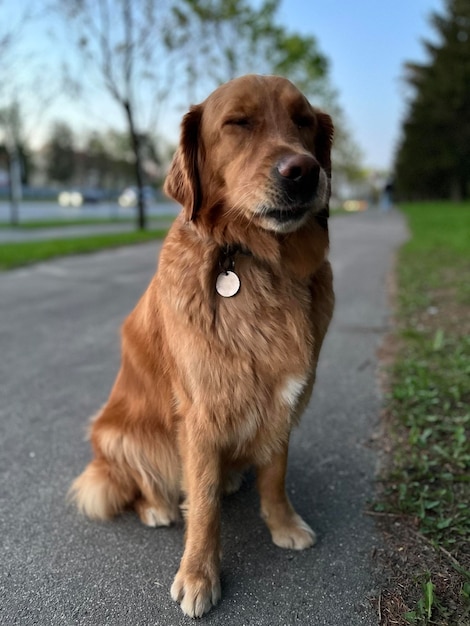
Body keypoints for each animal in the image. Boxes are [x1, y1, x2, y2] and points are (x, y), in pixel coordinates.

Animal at [70, 73, 334, 616]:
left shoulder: (285, 400)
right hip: (118, 436)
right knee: (135, 483)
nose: (304, 171)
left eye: (303, 121)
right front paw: (198, 575)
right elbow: (206, 504)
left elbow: (275, 474)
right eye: (237, 123)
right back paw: (158, 508)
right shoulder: (200, 411)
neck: (259, 262)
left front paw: (283, 524)